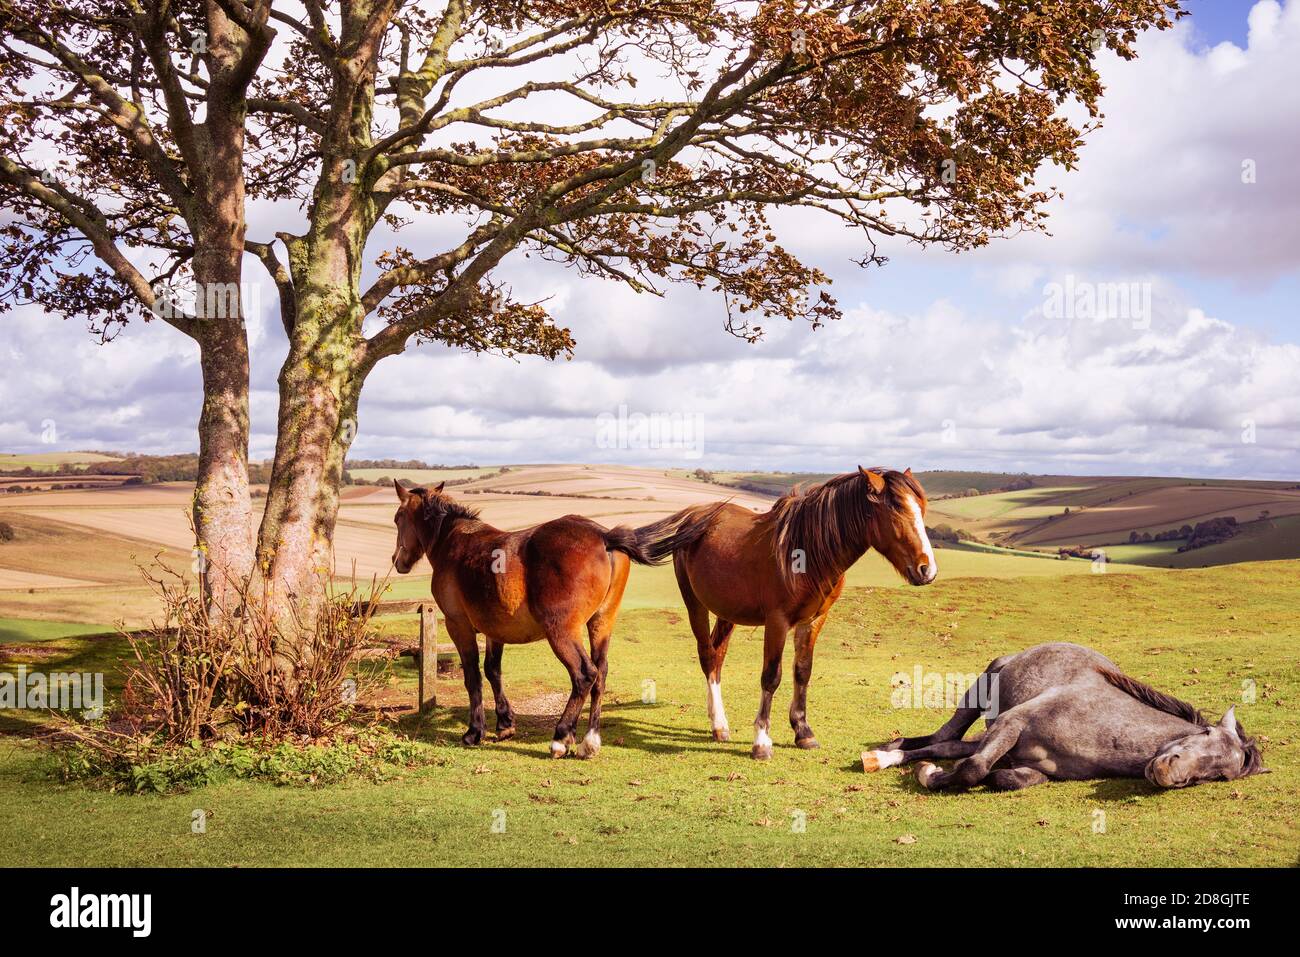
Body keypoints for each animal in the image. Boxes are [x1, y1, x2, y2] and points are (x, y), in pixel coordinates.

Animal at [390, 480, 657, 757]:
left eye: (398, 518)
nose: (397, 561)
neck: (454, 540)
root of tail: (604, 537)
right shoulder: (494, 630)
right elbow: (492, 670)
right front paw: (505, 723)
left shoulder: (458, 626)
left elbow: (473, 676)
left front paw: (475, 732)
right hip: (601, 623)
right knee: (600, 674)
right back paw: (590, 741)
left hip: (562, 632)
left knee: (585, 675)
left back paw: (562, 736)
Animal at [635, 467, 937, 760]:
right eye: (896, 511)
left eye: (921, 509)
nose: (927, 570)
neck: (807, 551)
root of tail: (694, 517)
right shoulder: (777, 621)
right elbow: (771, 676)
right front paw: (761, 741)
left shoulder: (813, 620)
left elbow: (802, 671)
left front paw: (803, 732)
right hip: (695, 604)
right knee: (708, 656)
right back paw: (719, 724)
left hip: (727, 612)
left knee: (718, 656)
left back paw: (718, 723)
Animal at [862, 642, 1269, 790]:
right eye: (1205, 735)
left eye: (1216, 775)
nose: (1169, 771)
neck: (1101, 728)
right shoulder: (1012, 724)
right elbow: (973, 769)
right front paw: (930, 776)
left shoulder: (1032, 767)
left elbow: (1000, 776)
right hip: (980, 693)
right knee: (941, 737)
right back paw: (885, 754)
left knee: (949, 745)